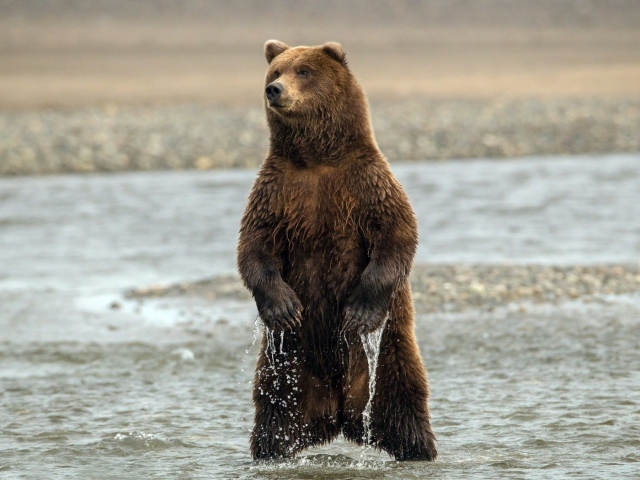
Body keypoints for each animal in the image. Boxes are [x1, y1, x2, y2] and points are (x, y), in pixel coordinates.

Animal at [237, 40, 437, 461]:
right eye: (275, 71)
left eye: (304, 71)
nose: (274, 90)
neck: (317, 159)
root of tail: (339, 413)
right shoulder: (276, 192)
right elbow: (255, 247)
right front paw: (283, 307)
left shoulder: (367, 184)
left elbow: (397, 235)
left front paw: (359, 311)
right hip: (288, 364)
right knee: (274, 412)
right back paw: (272, 452)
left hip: (389, 351)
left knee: (403, 402)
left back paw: (418, 450)